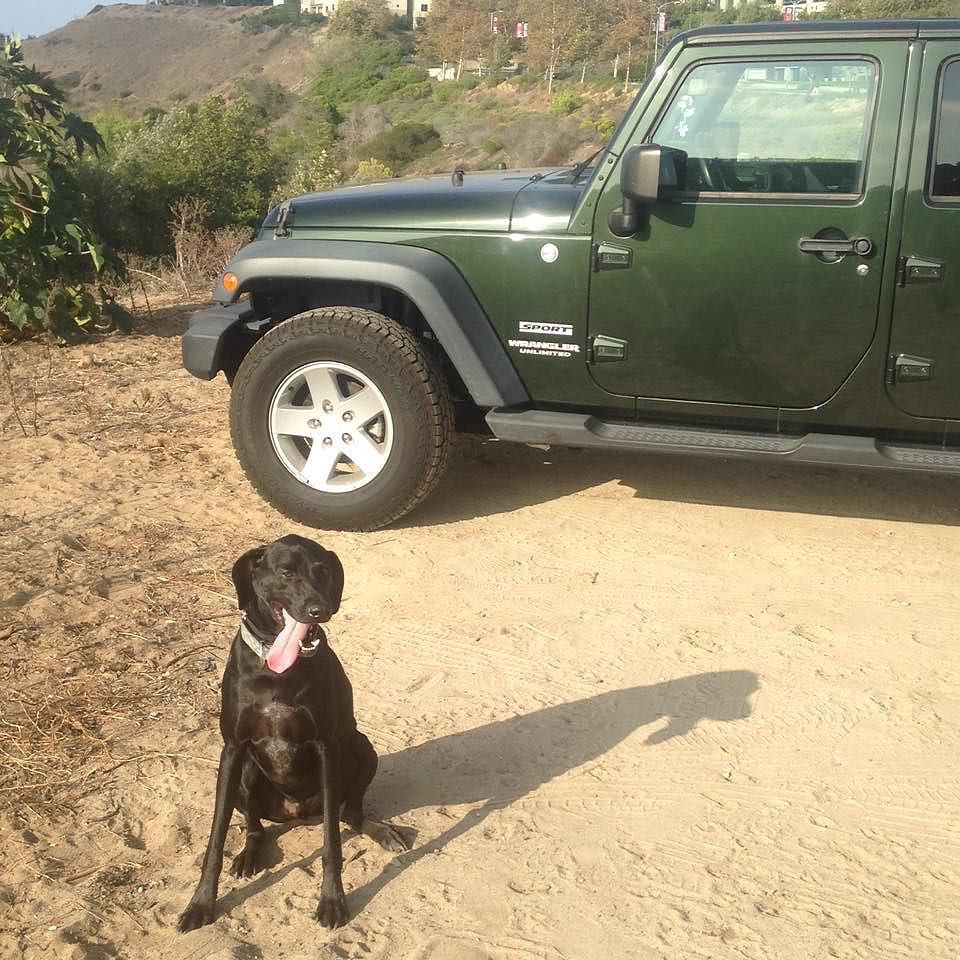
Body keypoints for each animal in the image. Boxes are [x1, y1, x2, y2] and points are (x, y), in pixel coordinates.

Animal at [179, 532, 404, 928]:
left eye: (324, 572)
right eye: (286, 573)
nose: (321, 610)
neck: (277, 671)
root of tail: (297, 813)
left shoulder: (327, 747)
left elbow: (332, 842)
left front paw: (332, 900)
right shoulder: (232, 749)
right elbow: (216, 839)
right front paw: (201, 903)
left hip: (361, 748)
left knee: (349, 814)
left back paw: (381, 830)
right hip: (247, 770)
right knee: (255, 826)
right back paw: (249, 854)